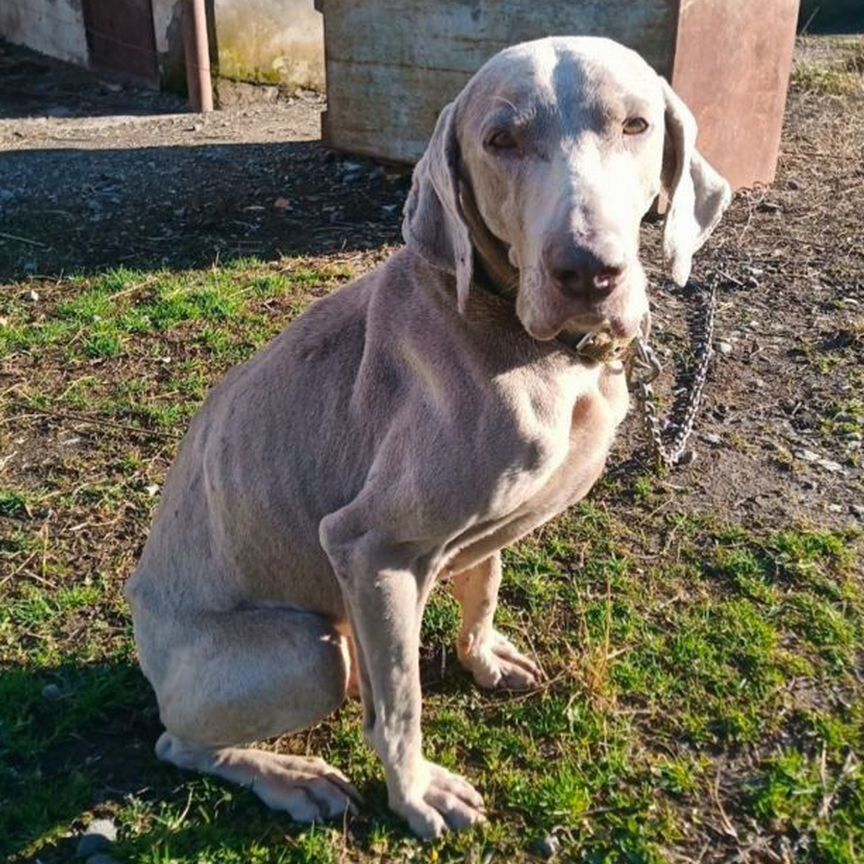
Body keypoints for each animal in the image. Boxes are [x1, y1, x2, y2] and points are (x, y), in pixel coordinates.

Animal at [126, 35, 728, 836]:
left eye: (635, 125)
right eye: (500, 140)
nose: (589, 273)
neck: (534, 343)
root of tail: (138, 613)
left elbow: (485, 583)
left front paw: (484, 658)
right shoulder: (368, 545)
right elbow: (403, 706)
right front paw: (417, 794)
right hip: (304, 651)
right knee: (180, 741)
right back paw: (294, 777)